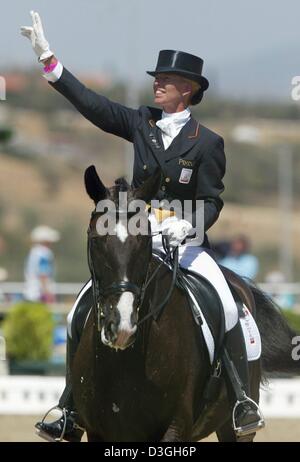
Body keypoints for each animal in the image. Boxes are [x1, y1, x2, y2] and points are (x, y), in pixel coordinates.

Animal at [72, 167, 300, 444]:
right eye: (96, 240)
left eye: (144, 242)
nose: (122, 327)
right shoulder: (98, 431)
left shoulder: (176, 426)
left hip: (233, 425)